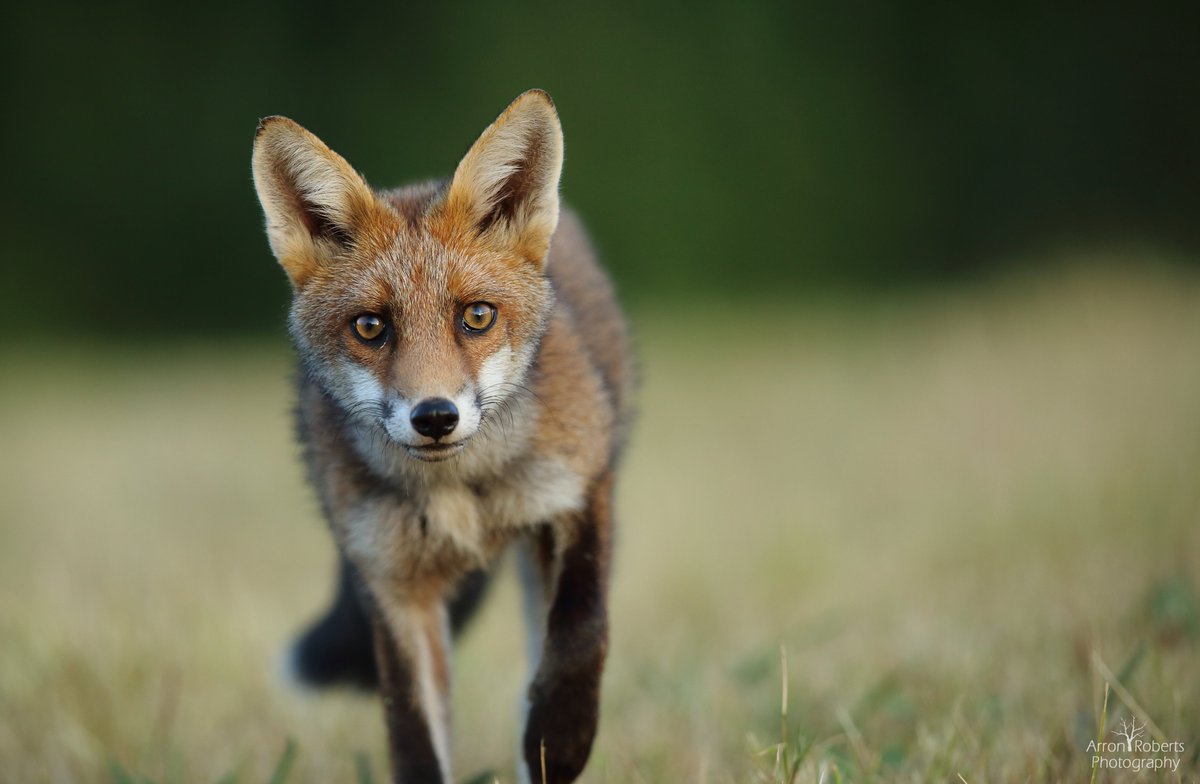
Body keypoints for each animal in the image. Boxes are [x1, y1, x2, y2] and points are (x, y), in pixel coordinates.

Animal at [250, 90, 633, 784]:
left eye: (476, 316)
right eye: (370, 326)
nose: (434, 417)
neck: (462, 491)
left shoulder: (579, 487)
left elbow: (581, 632)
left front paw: (558, 739)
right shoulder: (392, 583)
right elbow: (413, 738)